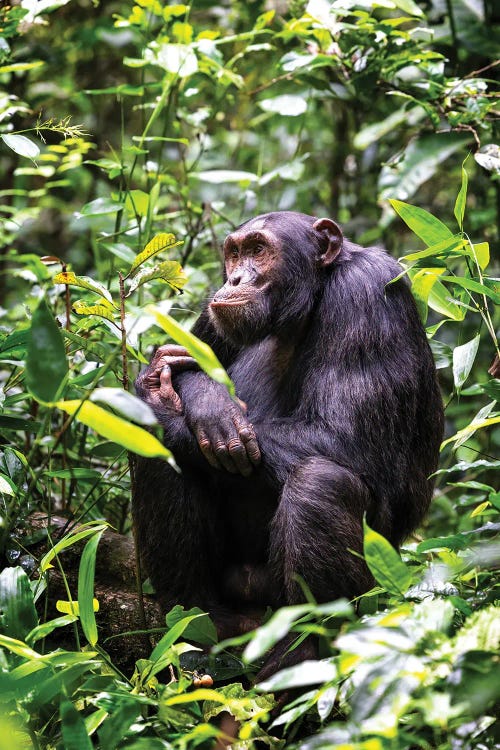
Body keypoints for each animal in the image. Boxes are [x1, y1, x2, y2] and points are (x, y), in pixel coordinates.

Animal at [133, 214, 442, 672]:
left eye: (260, 250)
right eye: (235, 253)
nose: (235, 277)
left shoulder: (368, 294)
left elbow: (341, 436)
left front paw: (179, 408)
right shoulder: (212, 311)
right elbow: (188, 355)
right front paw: (189, 391)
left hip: (373, 585)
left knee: (320, 483)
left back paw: (306, 655)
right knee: (157, 456)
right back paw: (199, 623)